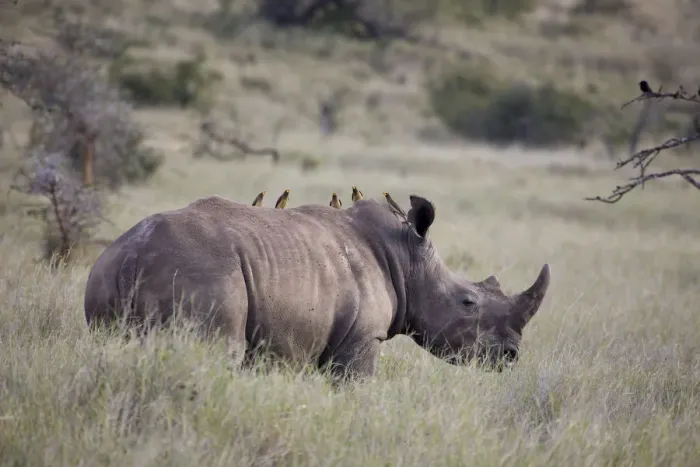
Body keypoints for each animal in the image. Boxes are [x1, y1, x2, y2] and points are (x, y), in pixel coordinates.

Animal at [84, 194, 551, 380]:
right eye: (468, 302)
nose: (510, 357)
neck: (407, 259)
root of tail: (134, 252)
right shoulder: (362, 338)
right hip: (201, 273)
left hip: (104, 275)